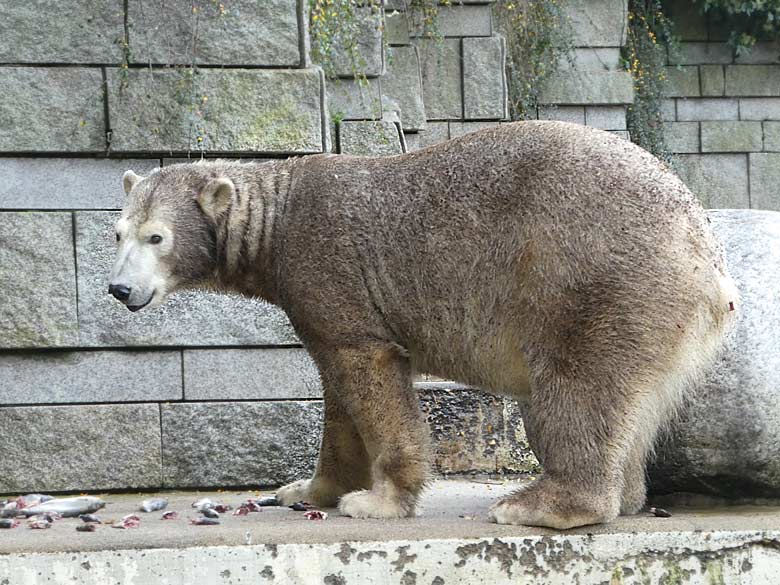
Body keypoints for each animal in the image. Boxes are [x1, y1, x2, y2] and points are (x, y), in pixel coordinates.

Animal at [109, 121, 736, 528]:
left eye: (157, 237)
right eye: (117, 233)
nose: (119, 289)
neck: (276, 216)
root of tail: (708, 259)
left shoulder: (327, 264)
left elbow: (370, 372)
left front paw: (377, 502)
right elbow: (337, 396)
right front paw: (306, 489)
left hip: (593, 278)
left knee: (575, 386)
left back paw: (534, 505)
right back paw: (624, 495)